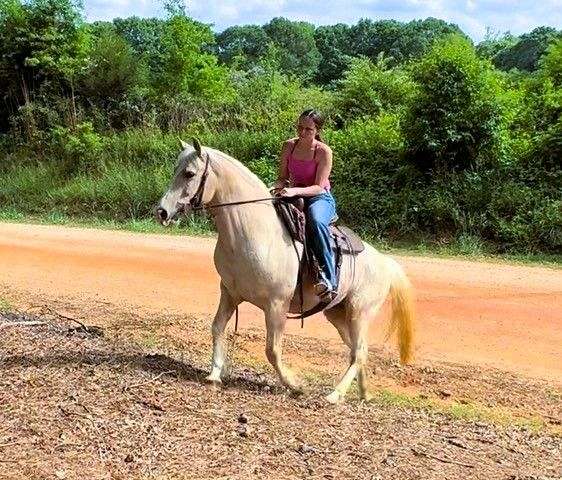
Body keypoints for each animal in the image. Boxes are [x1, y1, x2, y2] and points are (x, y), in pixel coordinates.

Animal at [155, 141, 414, 404]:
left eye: (189, 173)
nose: (162, 212)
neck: (253, 233)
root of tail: (384, 262)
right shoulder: (229, 293)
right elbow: (217, 327)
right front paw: (215, 374)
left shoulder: (276, 304)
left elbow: (272, 349)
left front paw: (295, 384)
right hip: (338, 314)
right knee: (356, 350)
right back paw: (364, 393)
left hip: (360, 312)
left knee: (359, 352)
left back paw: (335, 394)